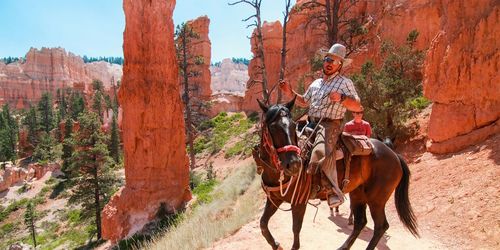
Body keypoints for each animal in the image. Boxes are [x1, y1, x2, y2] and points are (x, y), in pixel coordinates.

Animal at [256, 99, 420, 250]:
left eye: (292, 125)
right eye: (273, 127)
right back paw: (343, 247)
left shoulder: (299, 202)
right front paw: (276, 245)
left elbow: (296, 230)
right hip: (358, 194)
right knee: (360, 222)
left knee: (380, 226)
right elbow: (263, 224)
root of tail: (394, 155)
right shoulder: (274, 199)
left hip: (376, 200)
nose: (295, 164)